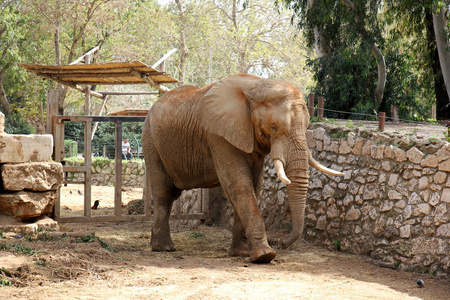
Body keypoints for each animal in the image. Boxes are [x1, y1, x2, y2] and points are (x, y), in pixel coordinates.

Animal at [142, 74, 342, 264]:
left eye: (307, 126)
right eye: (273, 127)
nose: (283, 243)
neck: (256, 86)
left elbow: (254, 185)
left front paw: (242, 253)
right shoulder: (218, 135)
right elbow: (239, 184)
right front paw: (264, 256)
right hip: (150, 141)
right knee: (164, 193)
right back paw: (164, 248)